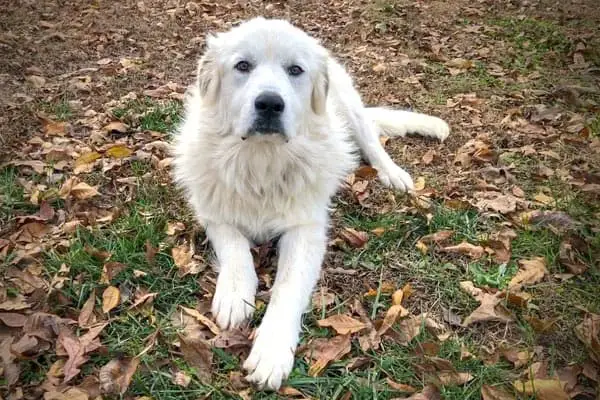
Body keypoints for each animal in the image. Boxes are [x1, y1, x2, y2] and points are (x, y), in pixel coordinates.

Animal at [171, 17, 448, 390]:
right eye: (243, 66)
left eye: (295, 70)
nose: (269, 104)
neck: (262, 161)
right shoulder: (214, 212)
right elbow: (235, 248)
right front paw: (234, 294)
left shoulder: (305, 231)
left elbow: (287, 289)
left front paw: (271, 352)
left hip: (350, 108)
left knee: (373, 144)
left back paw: (393, 174)